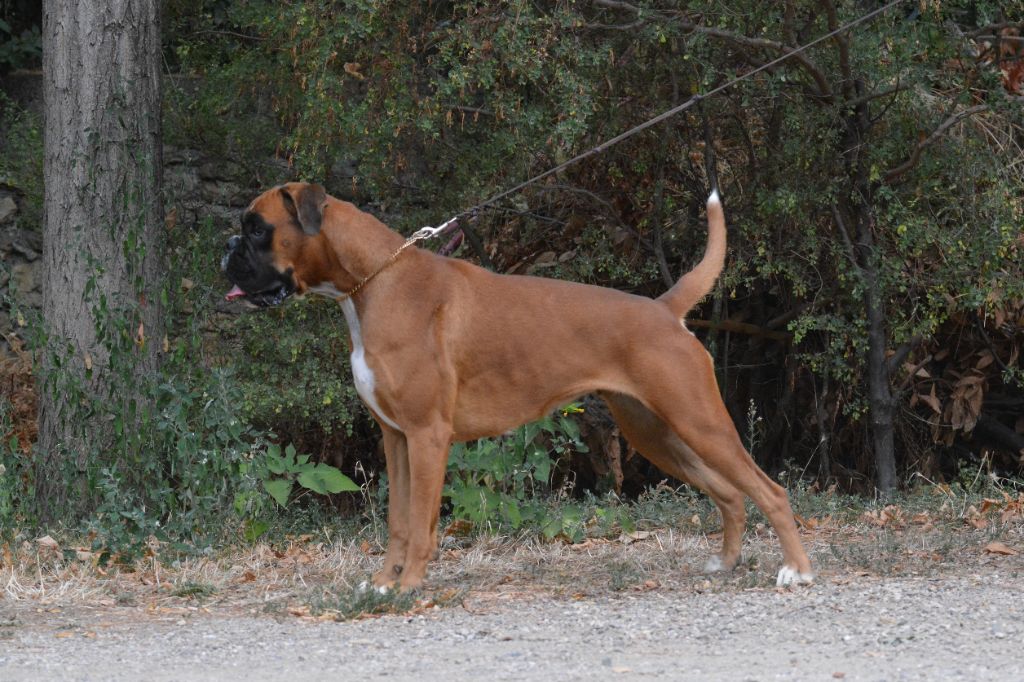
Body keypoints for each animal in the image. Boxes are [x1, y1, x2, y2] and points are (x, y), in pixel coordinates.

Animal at [224, 182, 815, 589]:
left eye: (257, 228)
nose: (226, 246)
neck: (375, 280)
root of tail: (664, 308)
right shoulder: (396, 438)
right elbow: (397, 521)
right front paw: (384, 584)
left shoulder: (427, 437)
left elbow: (420, 522)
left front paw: (409, 587)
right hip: (658, 434)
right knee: (731, 493)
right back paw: (725, 562)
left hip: (701, 423)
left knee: (771, 490)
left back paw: (797, 571)